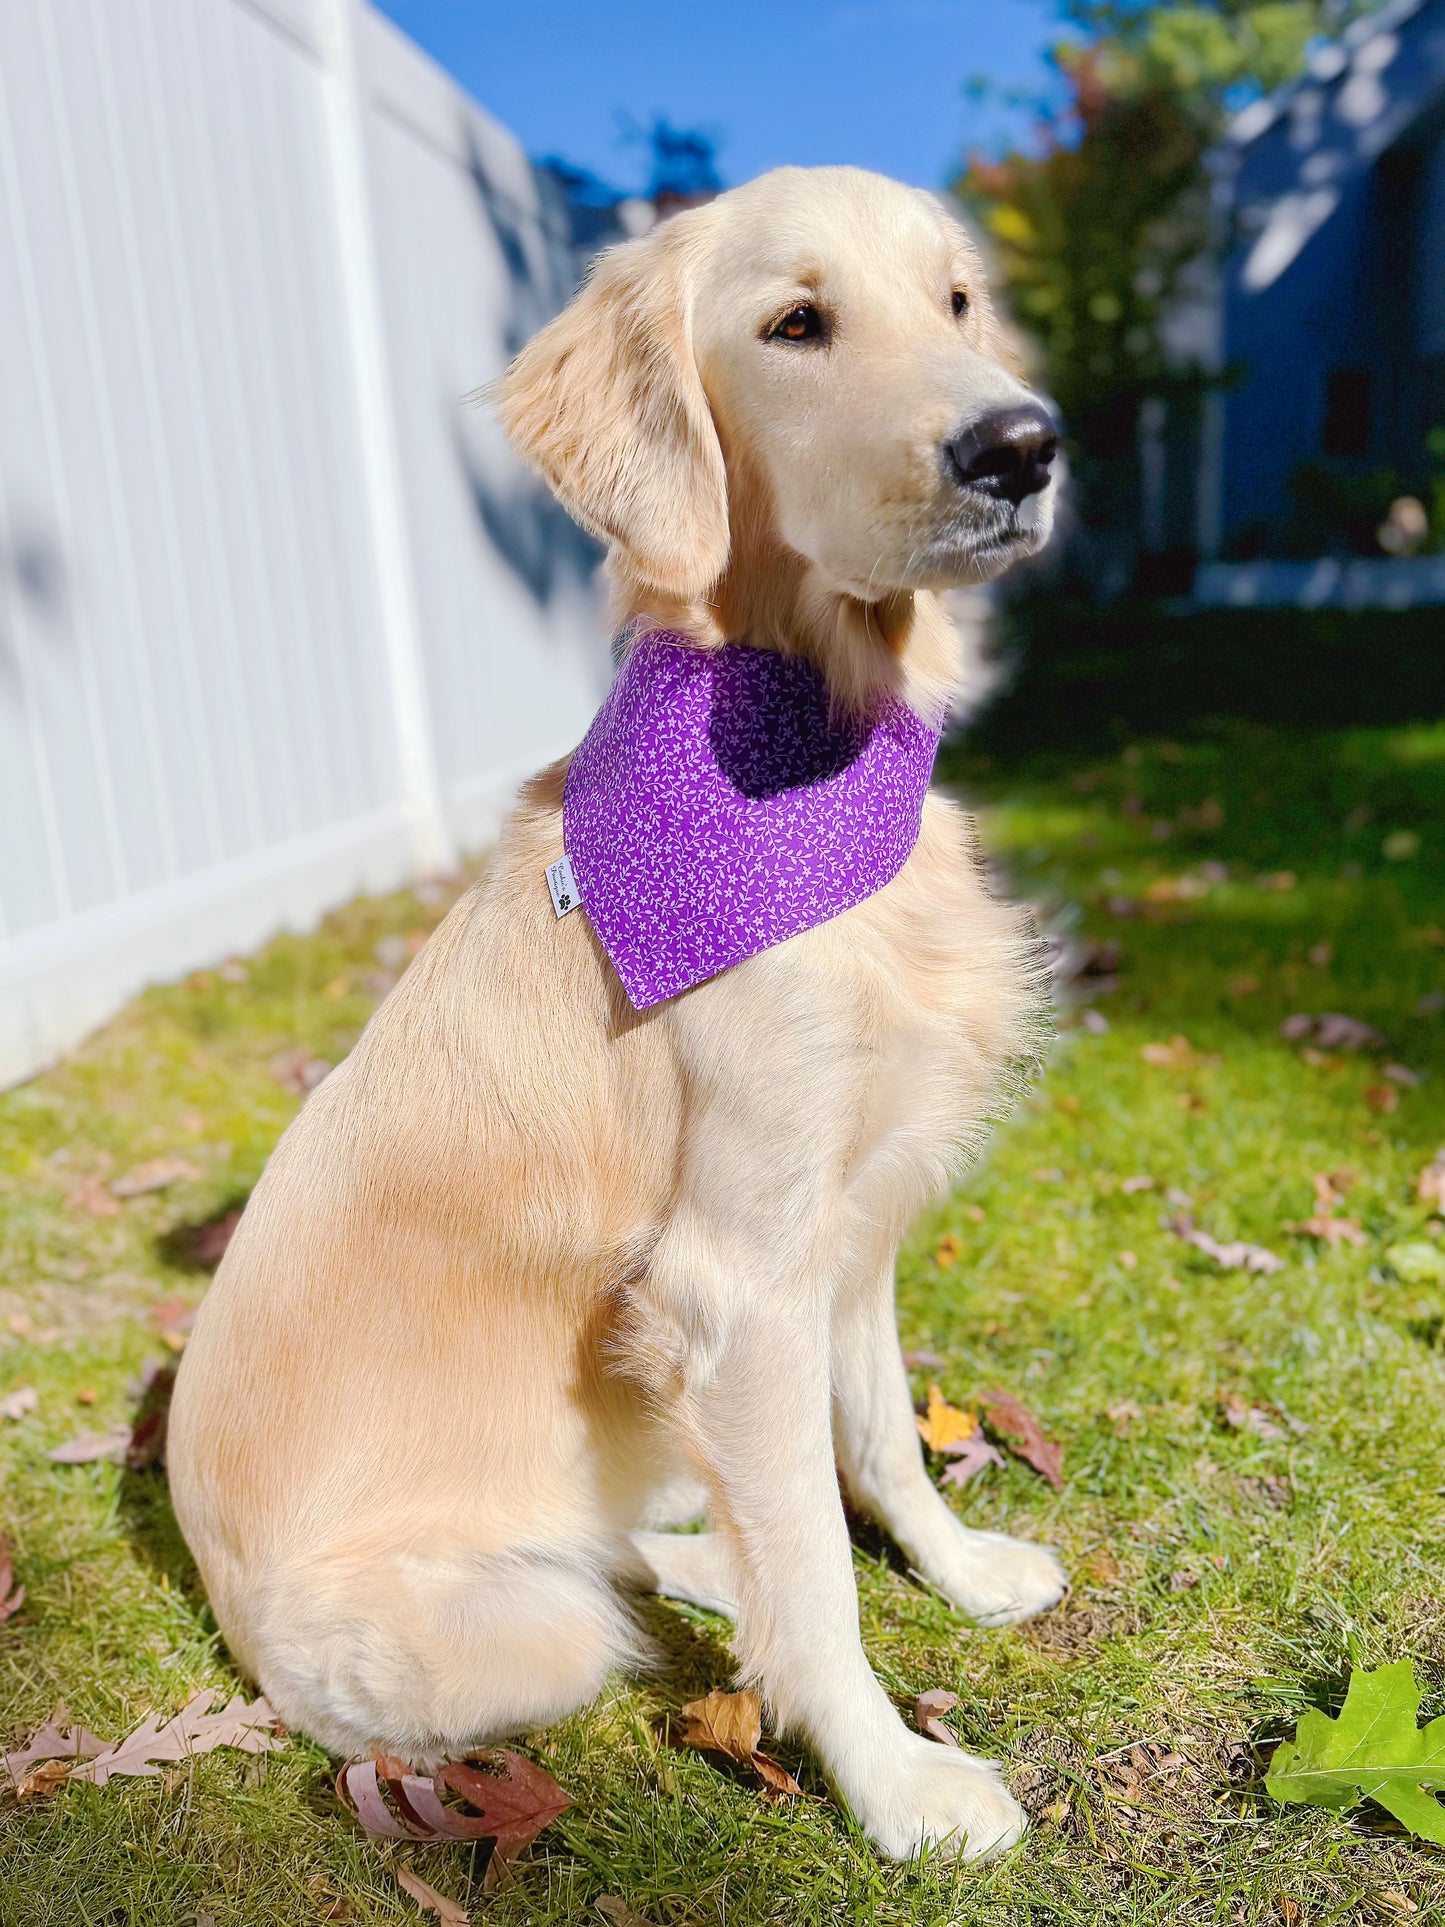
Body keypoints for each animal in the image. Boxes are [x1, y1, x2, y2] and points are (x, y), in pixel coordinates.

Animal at [172, 169, 1078, 1865]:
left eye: (957, 303)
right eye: (796, 324)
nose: (1021, 444)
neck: (802, 746)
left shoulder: (847, 1224)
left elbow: (875, 1441)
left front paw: (961, 1564)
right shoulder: (739, 1278)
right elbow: (819, 1566)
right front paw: (899, 1779)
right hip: (515, 1633)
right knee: (609, 1582)